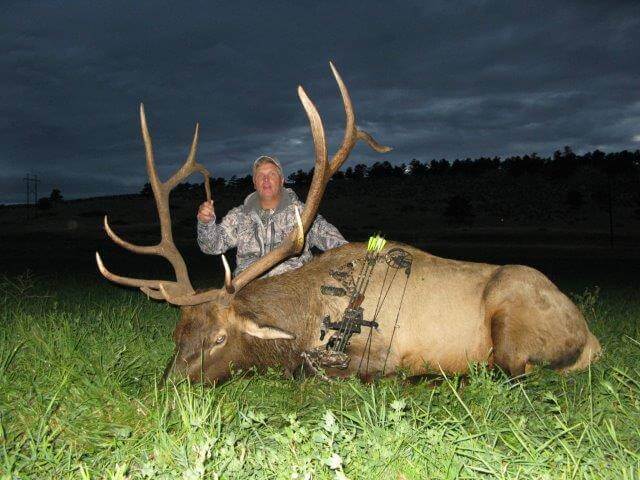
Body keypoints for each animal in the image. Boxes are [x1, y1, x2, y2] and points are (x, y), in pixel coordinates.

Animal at [95, 62, 600, 382]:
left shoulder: (378, 352)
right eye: (178, 334)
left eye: (220, 338)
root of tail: (590, 337)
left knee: (511, 372)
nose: (169, 386)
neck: (306, 316)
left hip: (513, 317)